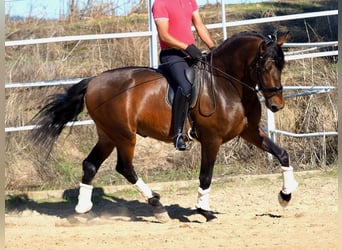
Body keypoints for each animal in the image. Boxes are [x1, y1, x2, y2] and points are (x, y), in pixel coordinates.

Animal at [32, 31, 300, 221]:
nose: (276, 105)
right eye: (265, 66)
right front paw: (204, 210)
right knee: (124, 167)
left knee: (90, 164)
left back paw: (82, 208)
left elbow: (282, 154)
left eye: (282, 65)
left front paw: (285, 196)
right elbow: (206, 175)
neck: (228, 85)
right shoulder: (211, 139)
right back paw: (157, 206)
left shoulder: (250, 132)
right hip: (124, 135)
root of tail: (94, 81)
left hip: (107, 135)